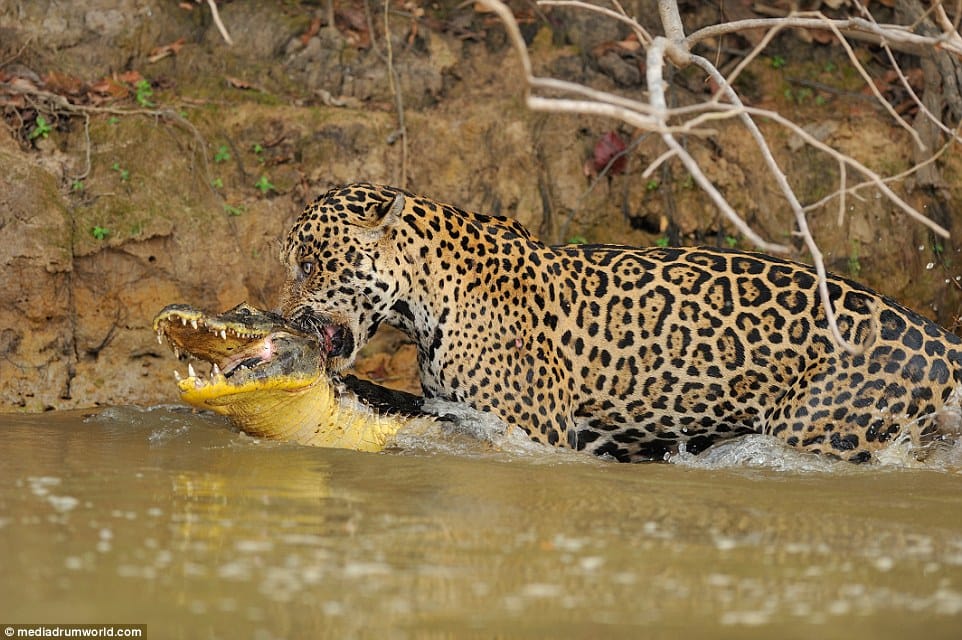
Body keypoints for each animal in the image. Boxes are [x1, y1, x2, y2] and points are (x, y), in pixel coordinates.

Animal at [280, 182, 962, 462]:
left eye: (310, 264)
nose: (284, 316)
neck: (424, 299)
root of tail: (939, 337)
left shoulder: (531, 433)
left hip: (820, 429)